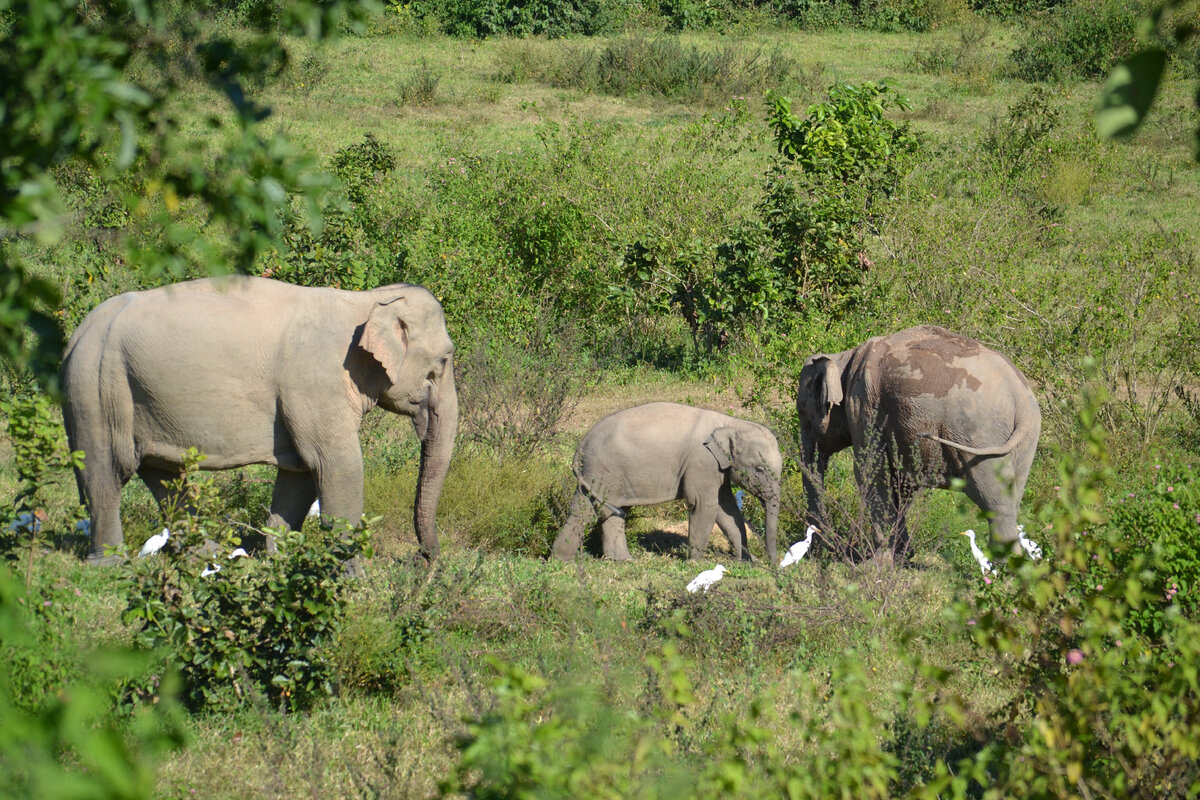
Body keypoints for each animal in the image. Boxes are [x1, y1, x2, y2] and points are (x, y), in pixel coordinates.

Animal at [63, 278, 460, 566]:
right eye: (442, 362)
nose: (420, 559)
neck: (369, 300)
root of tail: (77, 334)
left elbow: (300, 475)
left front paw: (278, 563)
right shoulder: (315, 383)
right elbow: (337, 466)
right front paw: (350, 580)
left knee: (164, 477)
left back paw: (211, 555)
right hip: (95, 390)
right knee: (106, 473)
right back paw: (110, 564)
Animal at [549, 400, 782, 563]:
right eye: (759, 469)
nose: (773, 565)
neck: (731, 423)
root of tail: (580, 445)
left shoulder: (718, 467)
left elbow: (727, 509)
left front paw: (747, 560)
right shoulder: (701, 462)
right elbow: (705, 504)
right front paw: (697, 562)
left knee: (609, 511)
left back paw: (621, 560)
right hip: (601, 471)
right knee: (587, 512)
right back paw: (563, 561)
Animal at [796, 321, 1041, 561]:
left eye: (802, 414)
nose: (821, 552)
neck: (844, 357)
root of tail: (1021, 398)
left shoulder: (864, 405)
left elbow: (871, 471)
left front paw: (878, 562)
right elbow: (902, 482)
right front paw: (903, 556)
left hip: (978, 434)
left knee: (993, 499)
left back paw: (1000, 567)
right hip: (1025, 442)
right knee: (1012, 495)